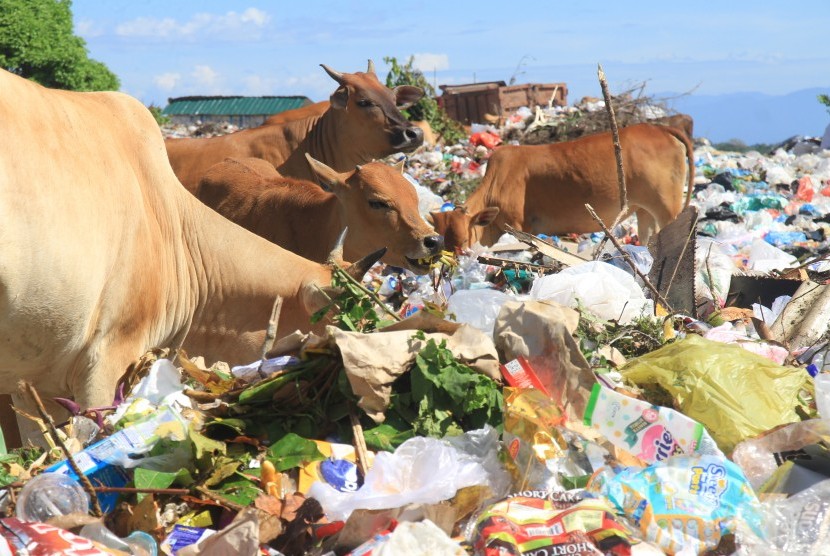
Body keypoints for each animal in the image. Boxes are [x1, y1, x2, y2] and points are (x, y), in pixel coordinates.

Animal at [428, 124, 696, 252]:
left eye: (464, 241)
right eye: (441, 242)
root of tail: (659, 128)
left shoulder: (520, 227)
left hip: (667, 207)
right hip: (643, 210)